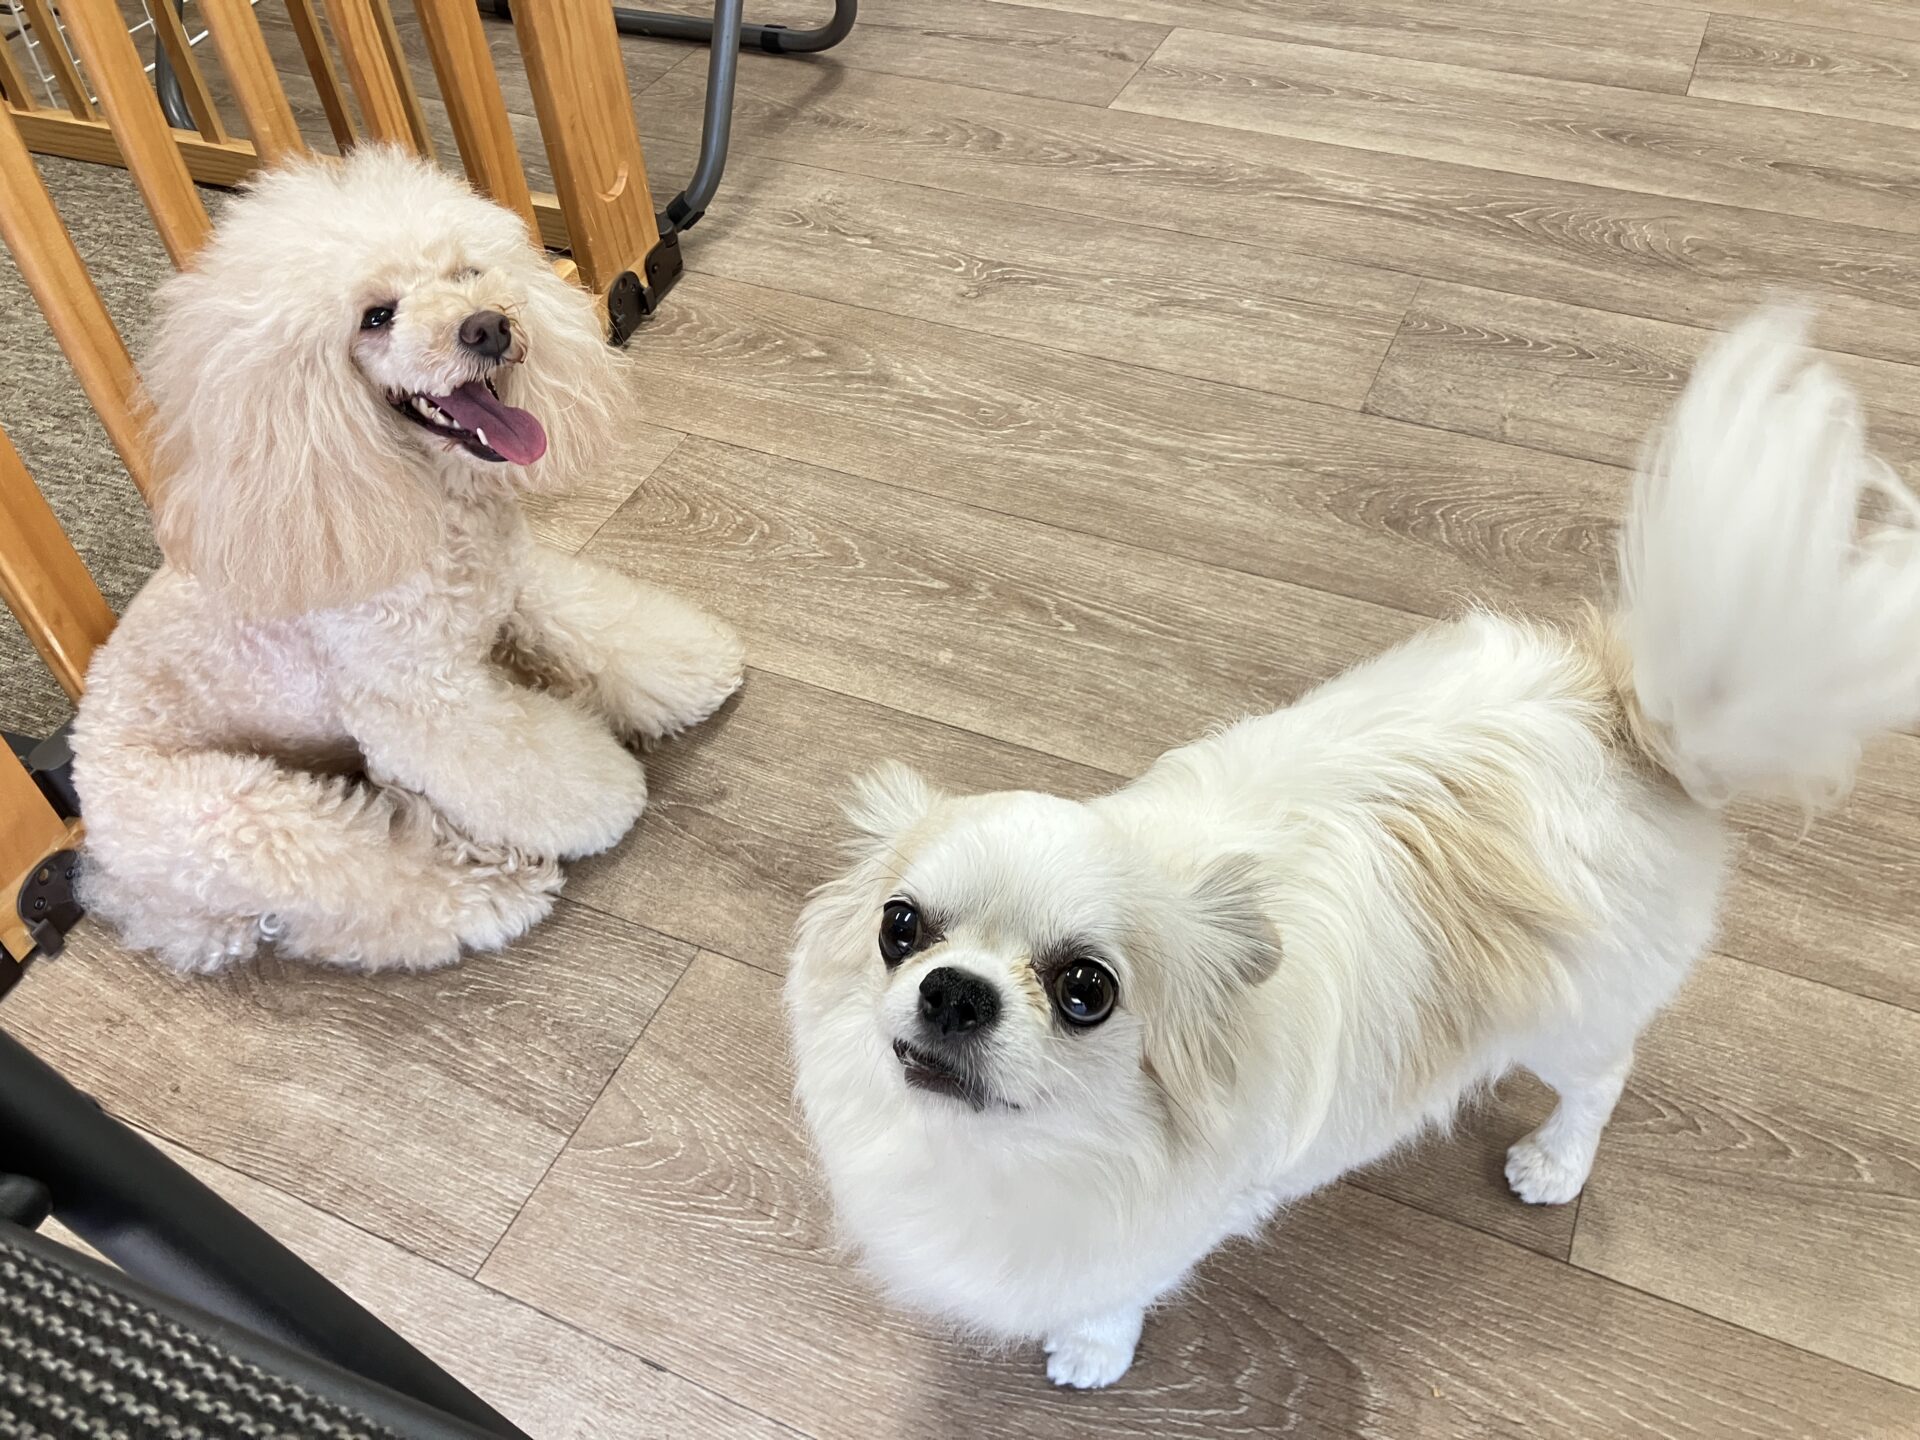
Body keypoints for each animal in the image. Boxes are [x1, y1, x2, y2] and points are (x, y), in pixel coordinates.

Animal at [72, 147, 742, 974]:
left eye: (465, 272)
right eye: (376, 316)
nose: (488, 325)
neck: (431, 504)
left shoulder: (518, 590)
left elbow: (602, 632)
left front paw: (690, 670)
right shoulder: (423, 702)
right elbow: (523, 765)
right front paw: (606, 796)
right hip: (242, 816)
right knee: (369, 879)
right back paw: (495, 892)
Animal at [786, 310, 1920, 1388]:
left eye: (1086, 991)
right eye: (900, 929)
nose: (954, 991)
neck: (1018, 1147)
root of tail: (1618, 709)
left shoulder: (1160, 1228)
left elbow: (1114, 1294)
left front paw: (1091, 1353)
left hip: (1574, 1012)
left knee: (1603, 1078)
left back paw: (1554, 1164)